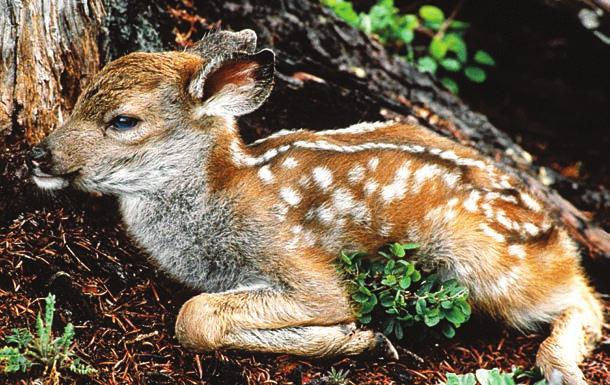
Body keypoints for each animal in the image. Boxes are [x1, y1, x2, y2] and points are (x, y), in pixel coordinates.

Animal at [28, 28, 600, 382]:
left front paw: (359, 337)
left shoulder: (300, 262)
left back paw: (560, 367)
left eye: (123, 121)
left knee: (585, 300)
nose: (38, 154)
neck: (218, 196)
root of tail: (556, 236)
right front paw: (364, 339)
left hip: (478, 258)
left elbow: (196, 316)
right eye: (79, 96)